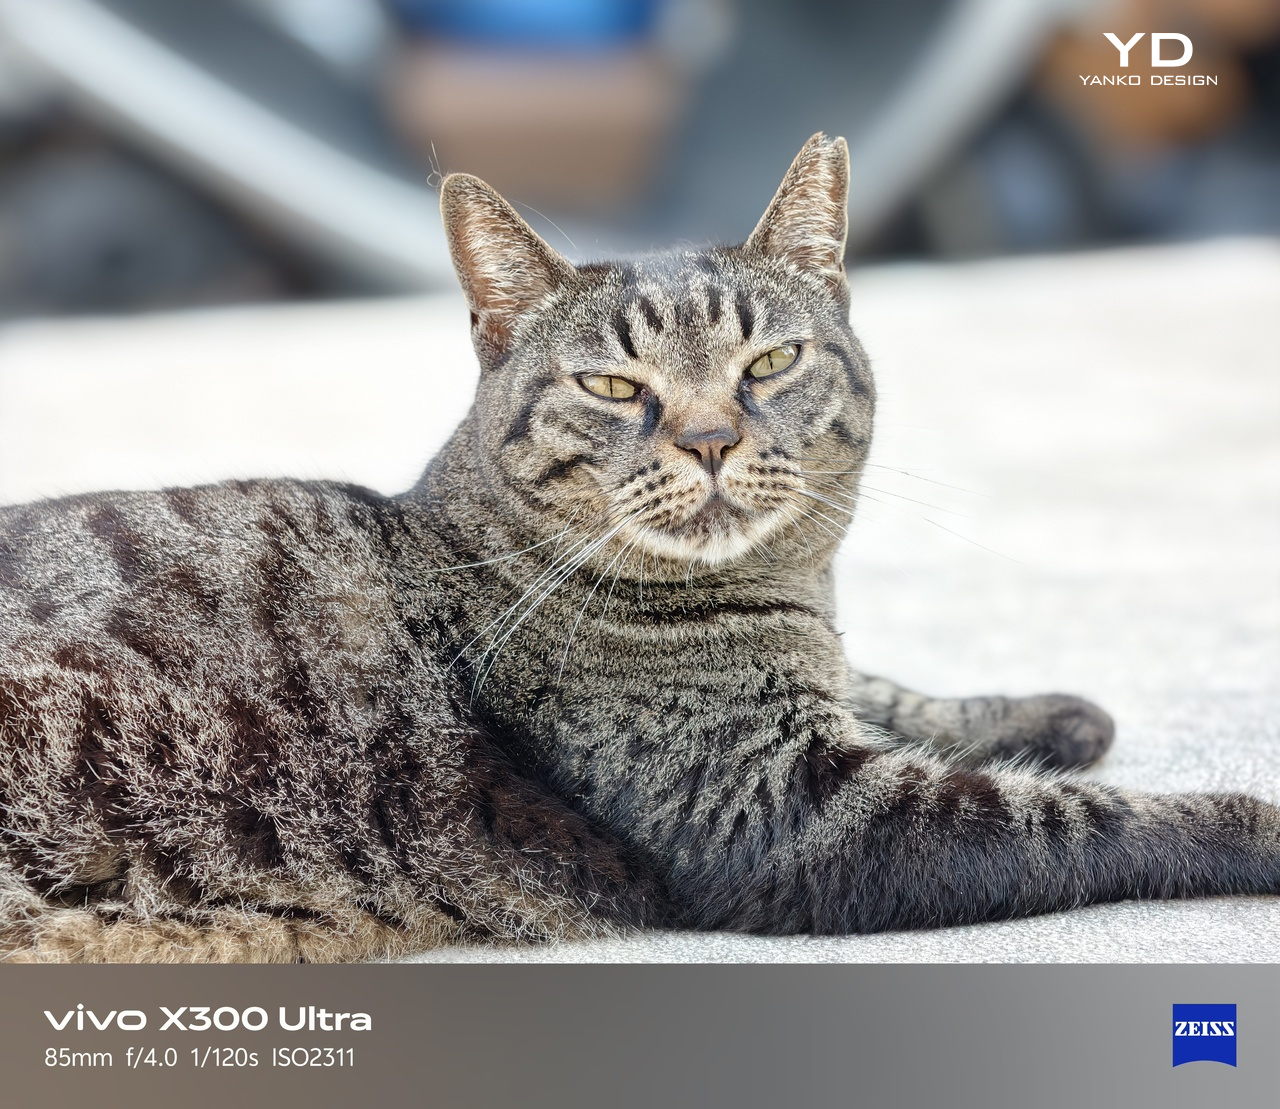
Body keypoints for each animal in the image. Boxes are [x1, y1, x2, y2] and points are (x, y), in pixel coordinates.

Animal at [0, 134, 1275, 963]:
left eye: (768, 362)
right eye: (614, 387)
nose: (709, 438)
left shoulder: (813, 707)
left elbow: (890, 687)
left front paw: (1054, 714)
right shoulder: (782, 811)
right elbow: (1084, 819)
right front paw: (1241, 819)